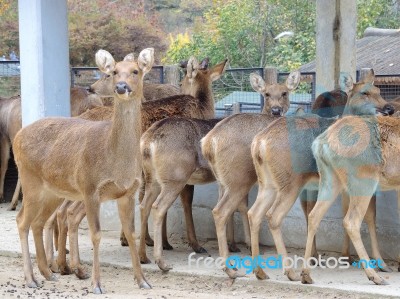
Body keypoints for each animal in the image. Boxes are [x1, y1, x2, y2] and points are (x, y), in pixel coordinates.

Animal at [12, 48, 153, 294]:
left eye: (136, 71)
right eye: (114, 72)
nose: (121, 86)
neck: (117, 161)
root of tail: (17, 137)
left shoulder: (128, 192)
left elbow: (131, 234)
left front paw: (142, 280)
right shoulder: (90, 188)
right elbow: (96, 235)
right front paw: (97, 284)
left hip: (53, 192)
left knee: (39, 221)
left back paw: (48, 273)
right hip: (30, 182)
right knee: (22, 221)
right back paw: (31, 278)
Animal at [44, 55, 228, 276]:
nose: (91, 87)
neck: (202, 107)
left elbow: (143, 202)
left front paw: (145, 240)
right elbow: (184, 201)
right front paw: (191, 244)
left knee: (59, 209)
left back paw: (60, 261)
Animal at [200, 69, 300, 278]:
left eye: (285, 93)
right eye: (267, 94)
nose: (276, 110)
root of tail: (208, 142)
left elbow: (244, 208)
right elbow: (247, 209)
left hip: (223, 179)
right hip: (238, 178)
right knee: (221, 211)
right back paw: (230, 268)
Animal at [302, 114, 400, 286]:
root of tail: (321, 143)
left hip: (329, 178)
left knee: (314, 215)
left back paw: (305, 274)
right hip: (364, 181)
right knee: (351, 221)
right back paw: (375, 276)